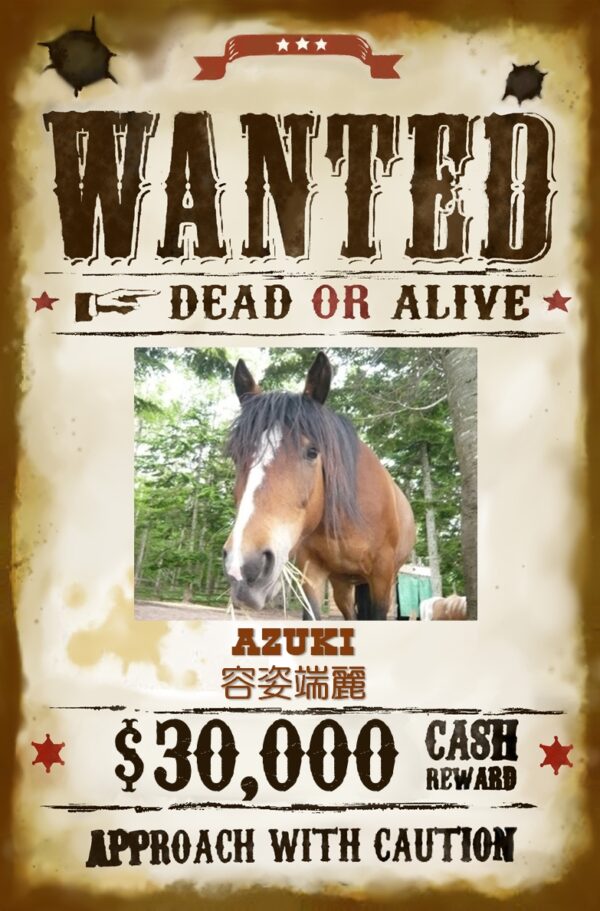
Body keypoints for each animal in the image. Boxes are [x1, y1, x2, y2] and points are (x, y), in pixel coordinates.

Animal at [223, 352, 416, 621]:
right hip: (342, 585)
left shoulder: (381, 578)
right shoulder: (311, 574)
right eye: (236, 455)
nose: (244, 566)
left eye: (312, 452)